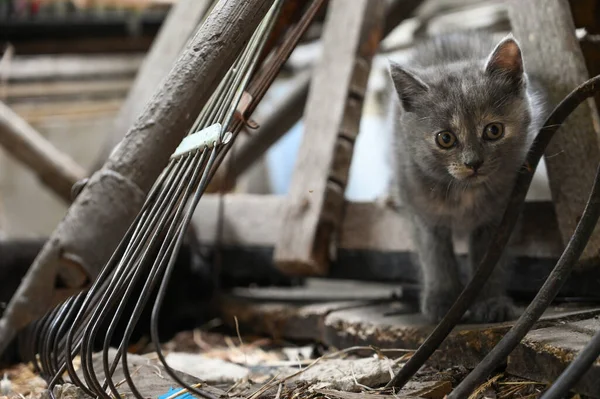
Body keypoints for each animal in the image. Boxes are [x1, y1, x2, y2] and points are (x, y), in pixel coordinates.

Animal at [386, 32, 548, 324]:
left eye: (494, 130)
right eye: (445, 138)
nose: (473, 163)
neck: (465, 192)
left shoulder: (501, 214)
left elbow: (489, 260)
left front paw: (490, 302)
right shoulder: (423, 215)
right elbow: (435, 257)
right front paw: (442, 303)